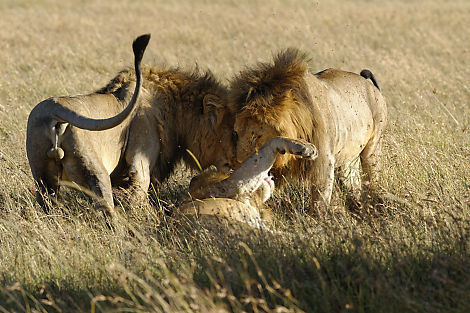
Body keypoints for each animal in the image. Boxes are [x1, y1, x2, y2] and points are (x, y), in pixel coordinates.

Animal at [25, 34, 235, 211]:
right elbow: (139, 193)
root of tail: (55, 112)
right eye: (232, 131)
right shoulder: (141, 157)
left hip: (43, 178)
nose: (233, 163)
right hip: (96, 173)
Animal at [229, 48, 388, 211]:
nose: (238, 163)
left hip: (372, 149)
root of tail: (371, 86)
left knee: (371, 179)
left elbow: (320, 201)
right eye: (236, 133)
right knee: (354, 183)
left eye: (255, 137)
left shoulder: (324, 162)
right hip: (349, 160)